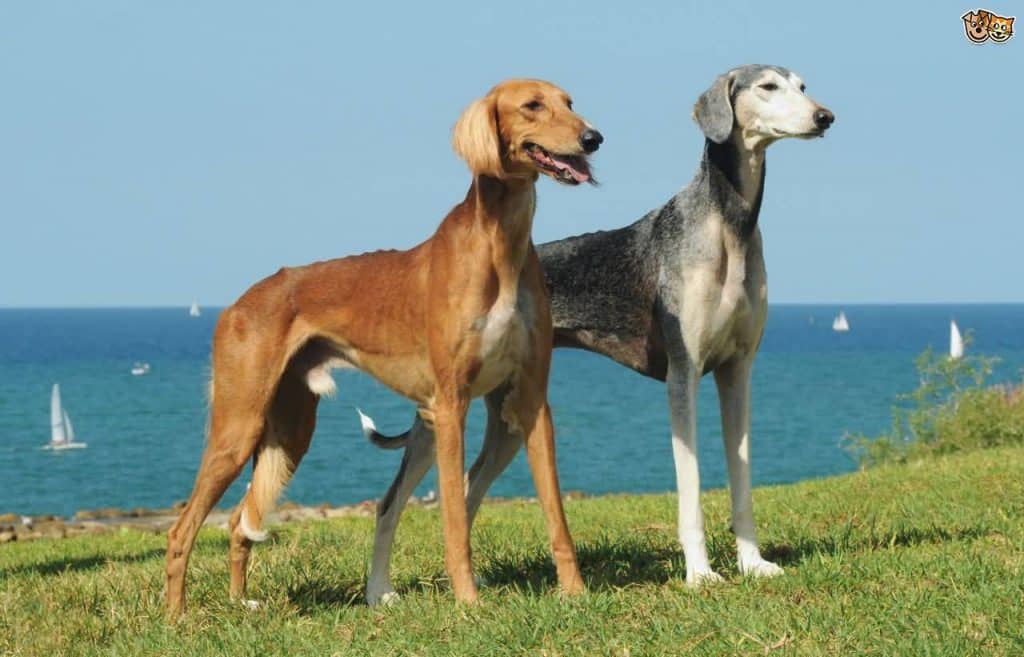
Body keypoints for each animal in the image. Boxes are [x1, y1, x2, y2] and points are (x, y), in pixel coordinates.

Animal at [163, 77, 602, 614]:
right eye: (532, 105)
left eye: (570, 103)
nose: (593, 139)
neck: (499, 245)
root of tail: (238, 303)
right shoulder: (452, 405)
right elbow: (454, 519)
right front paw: (468, 602)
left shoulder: (531, 400)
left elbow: (556, 513)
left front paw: (575, 593)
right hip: (239, 425)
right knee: (181, 529)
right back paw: (178, 616)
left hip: (292, 433)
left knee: (238, 521)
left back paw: (241, 602)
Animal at [360, 63, 831, 601]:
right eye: (767, 87)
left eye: (802, 86)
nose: (825, 116)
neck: (728, 226)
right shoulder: (683, 377)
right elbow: (689, 487)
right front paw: (699, 573)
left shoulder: (737, 373)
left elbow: (743, 480)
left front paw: (753, 564)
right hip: (438, 415)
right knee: (391, 503)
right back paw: (380, 593)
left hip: (510, 416)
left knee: (467, 489)